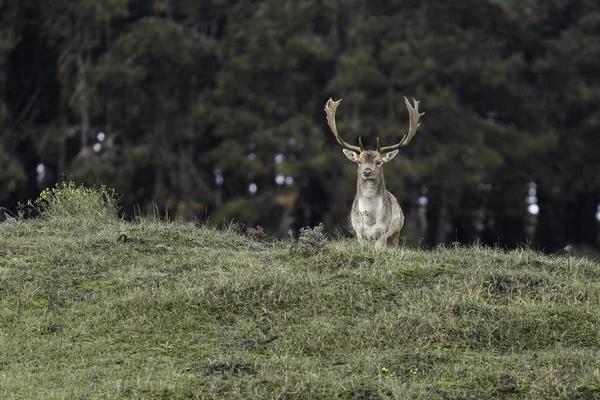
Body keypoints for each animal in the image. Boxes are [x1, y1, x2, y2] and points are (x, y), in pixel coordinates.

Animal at [326, 97, 424, 247]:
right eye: (359, 161)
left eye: (379, 162)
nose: (367, 171)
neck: (370, 220)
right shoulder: (359, 233)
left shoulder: (383, 233)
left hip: (396, 233)